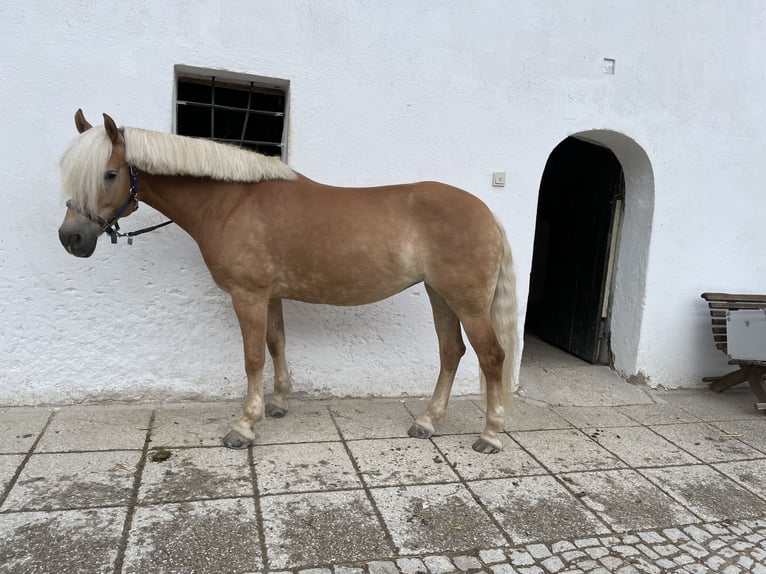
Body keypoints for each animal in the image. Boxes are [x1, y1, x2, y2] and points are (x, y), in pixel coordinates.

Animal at [57, 111, 520, 454]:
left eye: (110, 174)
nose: (71, 238)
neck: (230, 203)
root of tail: (486, 213)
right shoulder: (270, 295)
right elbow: (276, 343)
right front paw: (278, 403)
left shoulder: (248, 295)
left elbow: (252, 358)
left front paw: (245, 426)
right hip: (439, 294)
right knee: (451, 352)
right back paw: (427, 421)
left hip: (468, 302)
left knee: (491, 356)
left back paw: (490, 434)